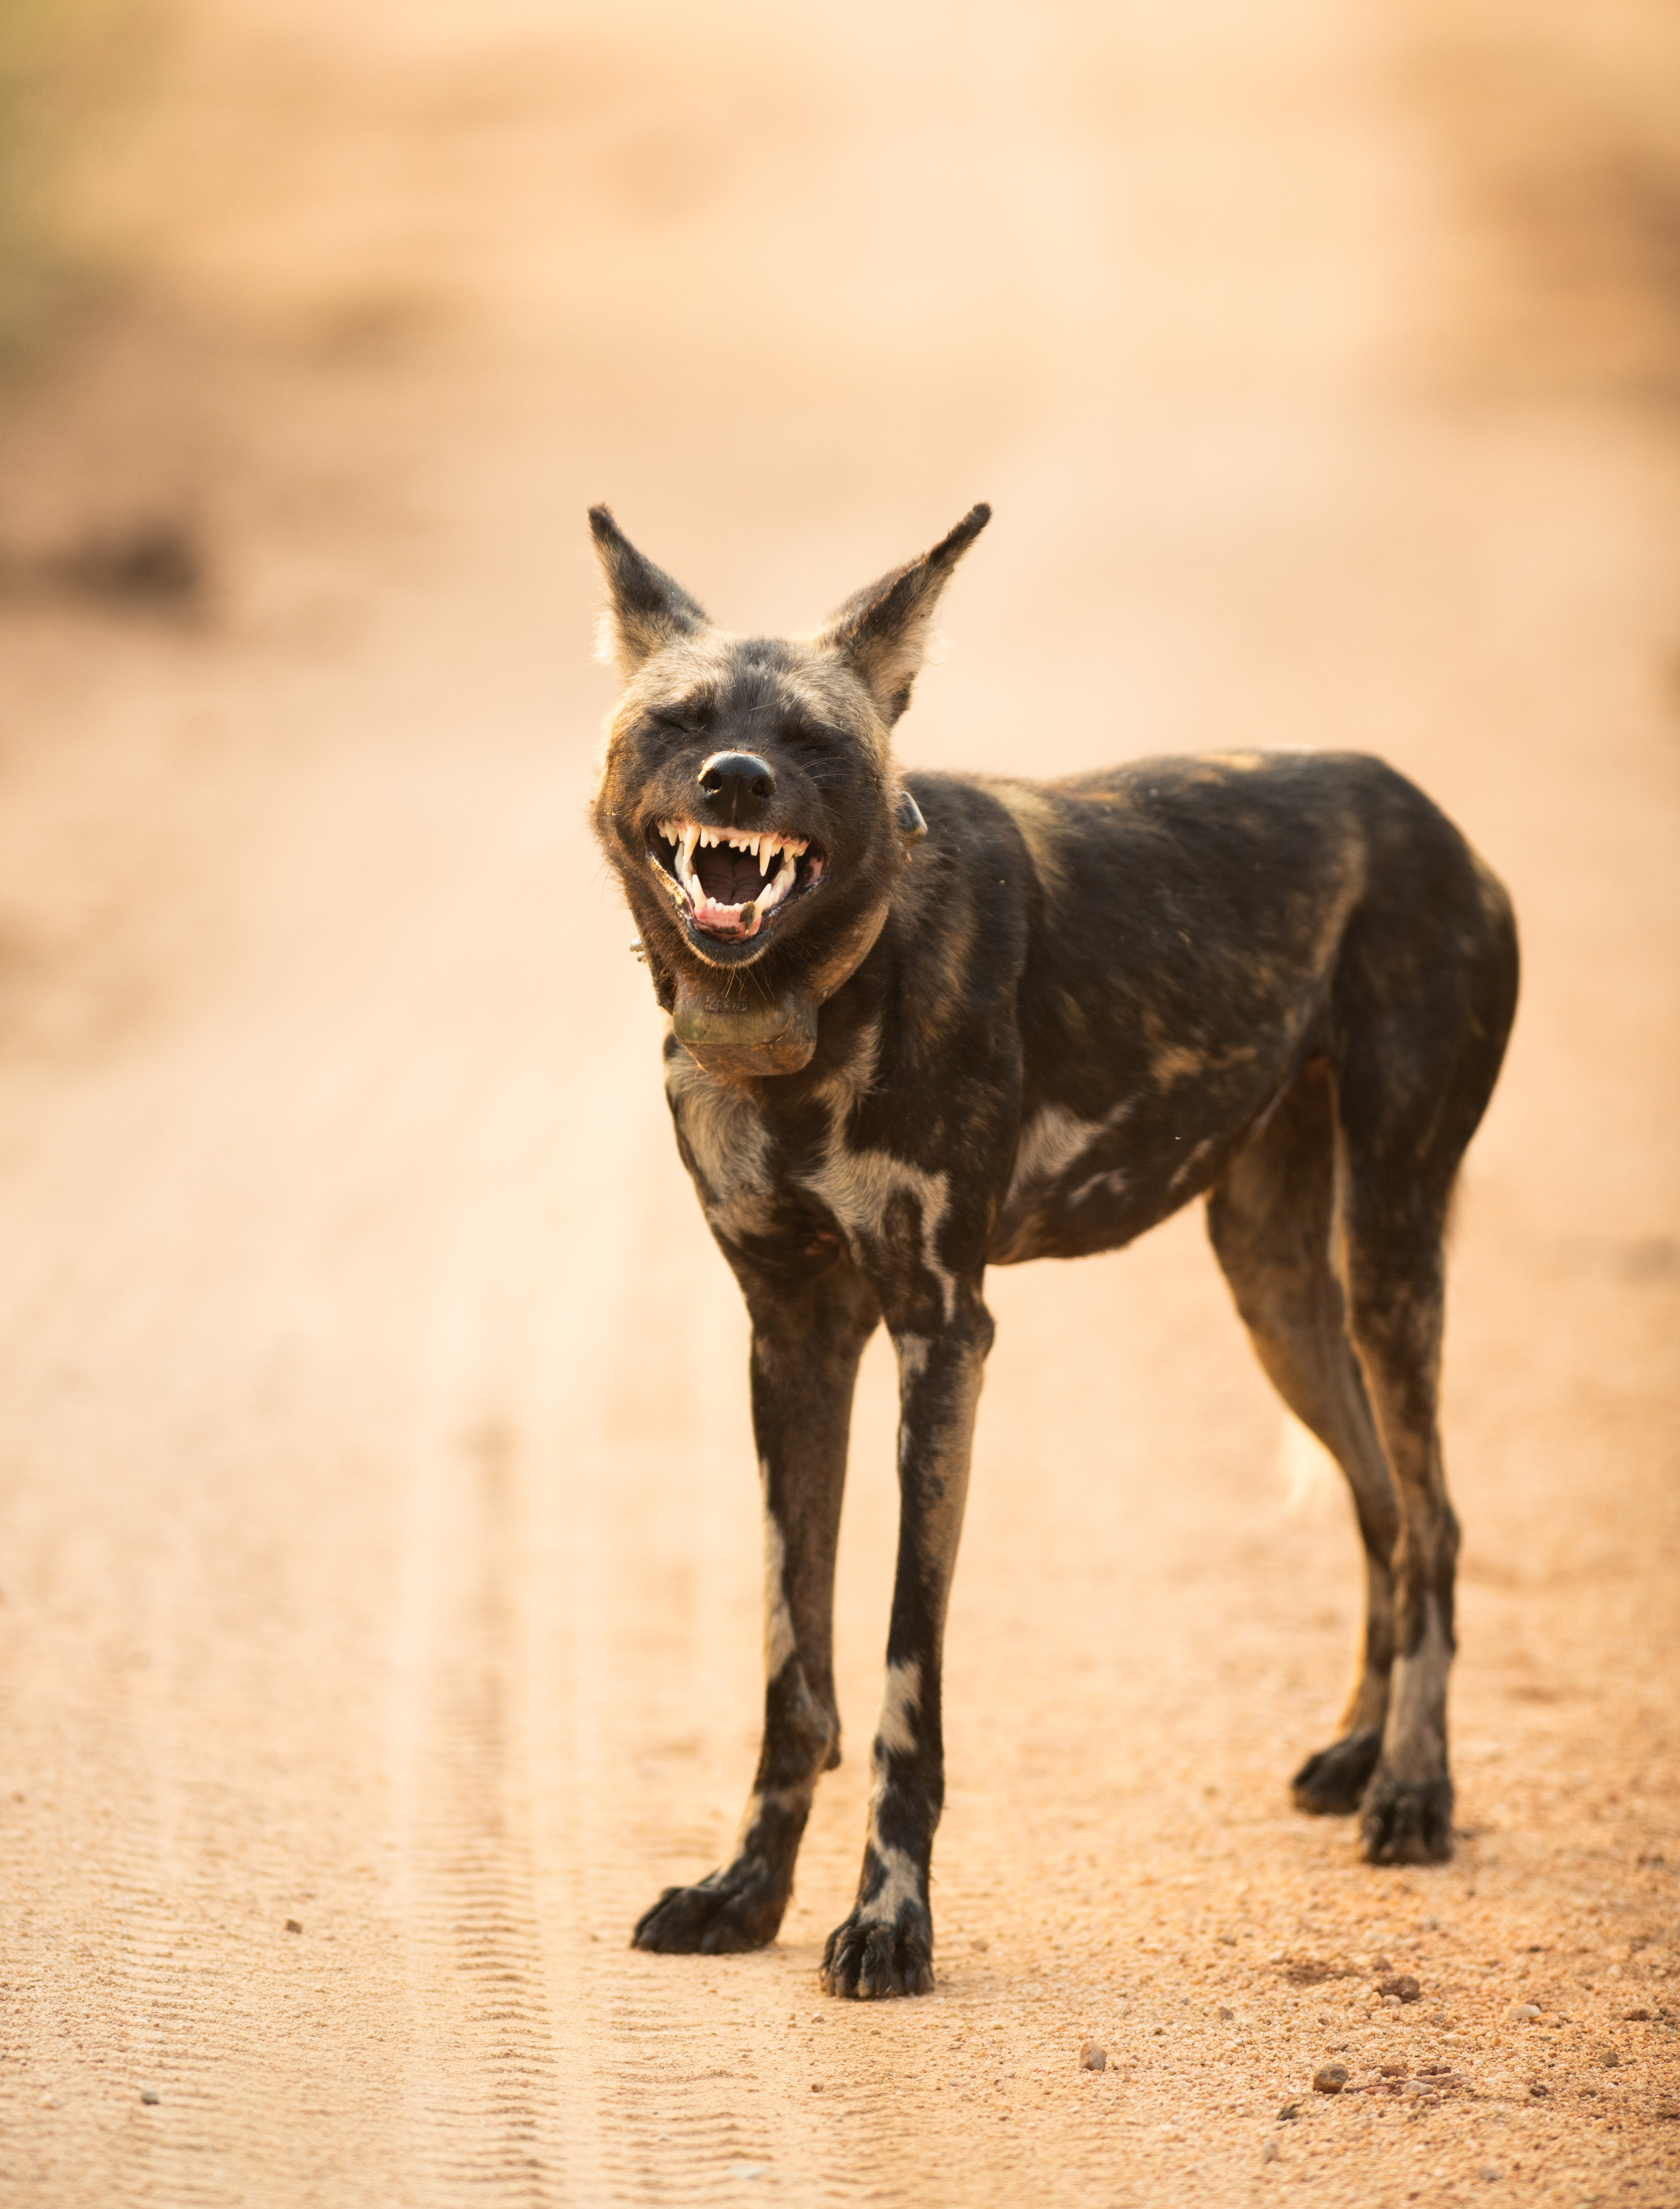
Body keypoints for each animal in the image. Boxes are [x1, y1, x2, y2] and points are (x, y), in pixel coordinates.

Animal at [587, 501, 1519, 2006]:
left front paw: (888, 1920)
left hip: (1384, 1247)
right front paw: (747, 1891)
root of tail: (1424, 813)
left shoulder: (940, 1337)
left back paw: (1414, 1790)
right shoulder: (791, 1337)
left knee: (1433, 1520)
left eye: (813, 742)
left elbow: (901, 1680)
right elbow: (794, 1671)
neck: (810, 1003)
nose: (734, 779)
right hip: (1273, 1284)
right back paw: (1357, 1752)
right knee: (1382, 1505)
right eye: (681, 720)